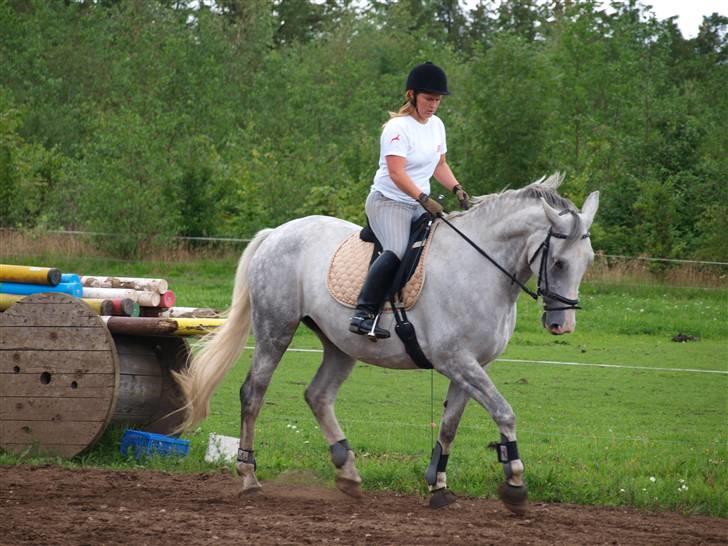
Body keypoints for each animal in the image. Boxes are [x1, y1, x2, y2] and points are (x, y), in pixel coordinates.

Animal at [175, 172, 596, 512]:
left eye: (588, 261)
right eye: (558, 262)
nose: (561, 325)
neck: (480, 267)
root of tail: (276, 233)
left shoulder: (471, 364)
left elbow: (449, 425)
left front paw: (439, 487)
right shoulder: (455, 360)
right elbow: (504, 412)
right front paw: (515, 485)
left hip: (341, 345)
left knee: (318, 395)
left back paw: (348, 473)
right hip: (275, 329)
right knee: (254, 393)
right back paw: (249, 477)